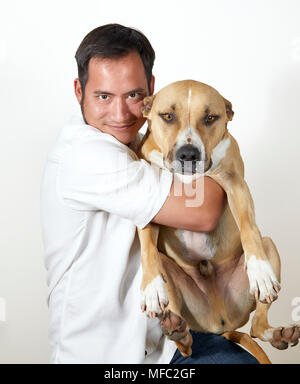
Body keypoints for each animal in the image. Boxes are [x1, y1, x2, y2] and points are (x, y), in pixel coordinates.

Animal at [137, 80, 300, 364]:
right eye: (168, 116)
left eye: (210, 118)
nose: (188, 154)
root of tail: (220, 323)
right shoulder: (150, 197)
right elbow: (147, 246)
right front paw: (152, 288)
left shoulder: (235, 183)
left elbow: (248, 227)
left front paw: (260, 272)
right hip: (173, 277)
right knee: (187, 344)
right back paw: (177, 330)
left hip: (268, 247)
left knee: (257, 326)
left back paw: (279, 334)